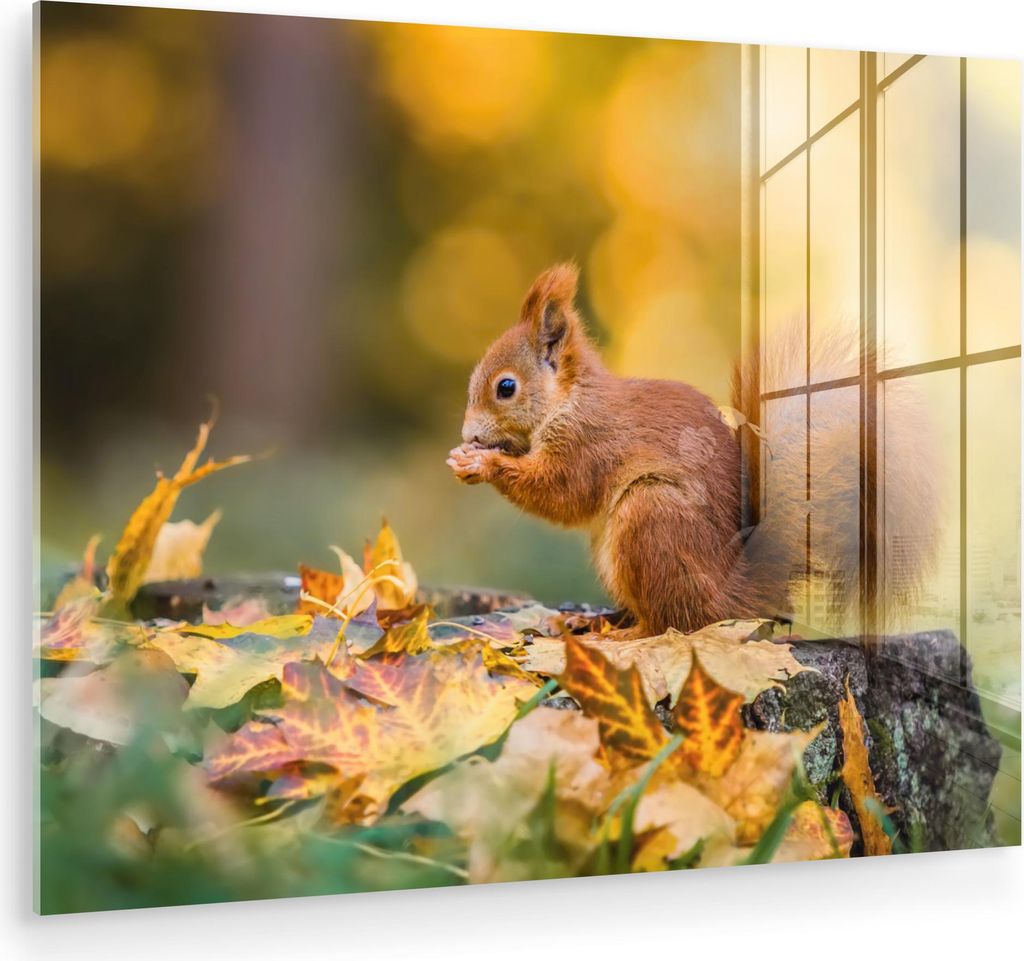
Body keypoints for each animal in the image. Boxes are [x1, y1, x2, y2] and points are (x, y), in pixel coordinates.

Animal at [447, 262, 937, 636]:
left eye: (506, 387)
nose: (468, 434)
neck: (568, 399)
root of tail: (735, 595)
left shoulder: (588, 442)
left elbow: (561, 492)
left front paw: (483, 462)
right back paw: (593, 621)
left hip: (652, 517)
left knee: (672, 623)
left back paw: (621, 637)